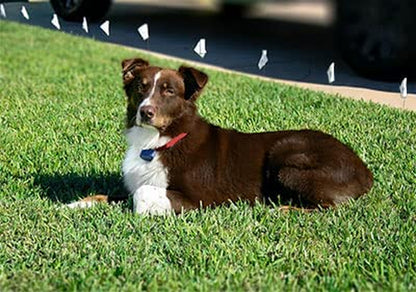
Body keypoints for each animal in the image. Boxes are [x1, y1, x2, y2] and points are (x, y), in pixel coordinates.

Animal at [67, 58, 374, 213]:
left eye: (169, 91)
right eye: (141, 87)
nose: (146, 112)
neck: (157, 143)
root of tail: (365, 170)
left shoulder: (200, 199)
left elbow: (141, 194)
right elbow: (110, 194)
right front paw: (77, 204)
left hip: (287, 162)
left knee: (331, 208)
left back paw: (283, 209)